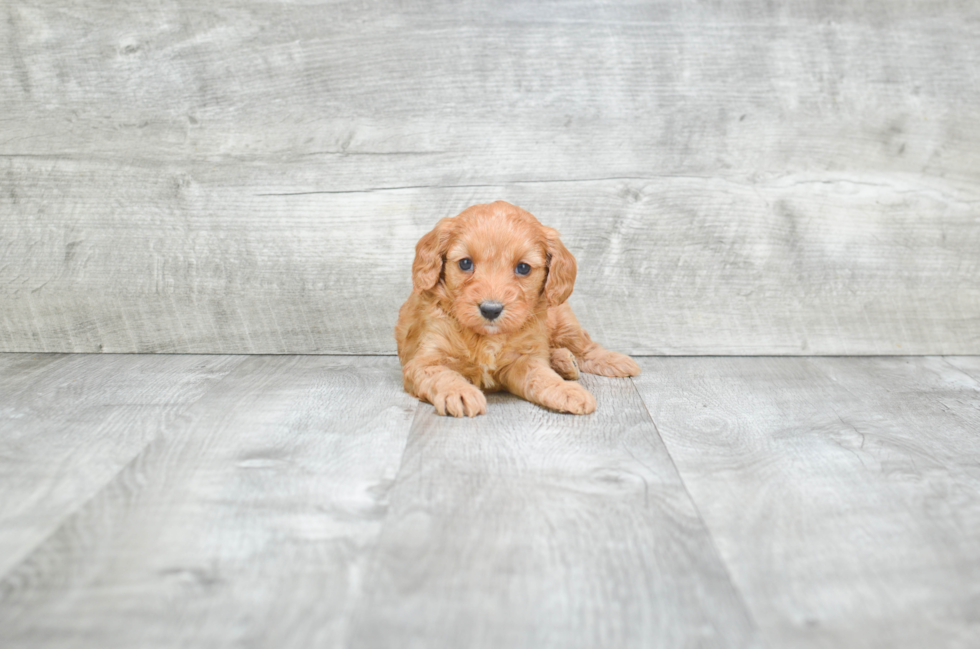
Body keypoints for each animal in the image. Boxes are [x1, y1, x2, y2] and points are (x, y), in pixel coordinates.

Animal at [394, 200, 640, 418]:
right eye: (465, 263)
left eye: (523, 268)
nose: (490, 309)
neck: (486, 338)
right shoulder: (425, 359)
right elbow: (442, 374)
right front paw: (461, 393)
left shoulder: (524, 359)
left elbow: (542, 376)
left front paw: (566, 391)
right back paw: (564, 361)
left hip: (563, 320)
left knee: (583, 346)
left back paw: (615, 361)